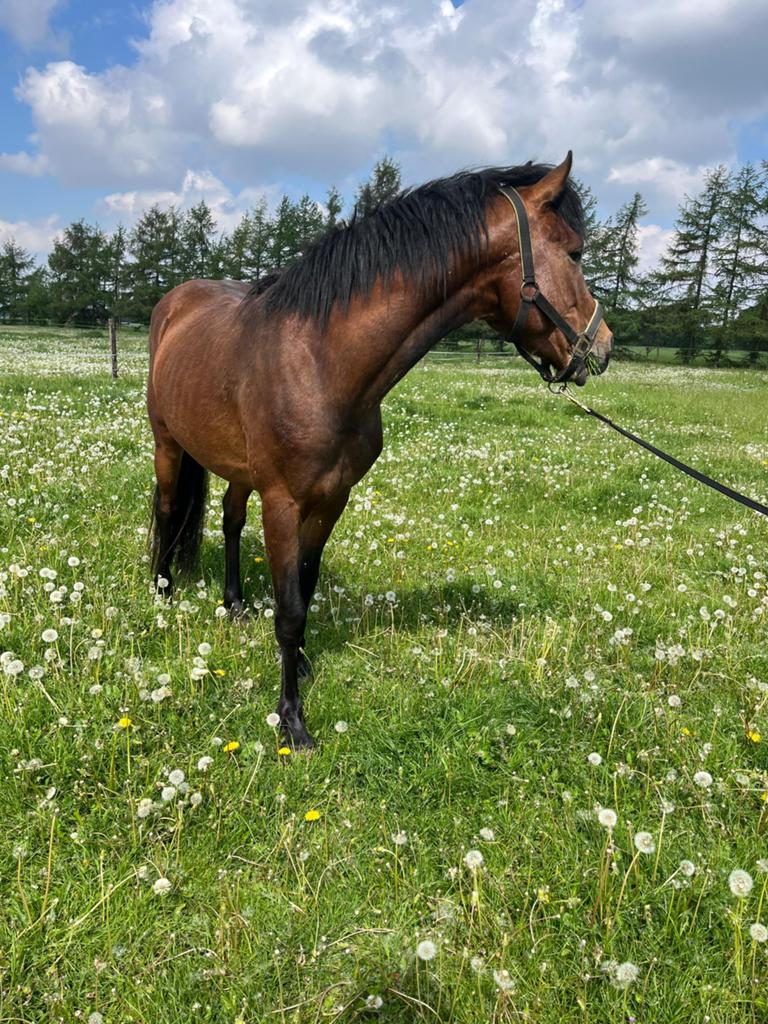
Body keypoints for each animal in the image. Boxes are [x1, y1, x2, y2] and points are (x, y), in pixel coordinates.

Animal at [147, 152, 614, 749]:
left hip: (238, 467)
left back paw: (234, 605)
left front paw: (300, 666)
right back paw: (163, 595)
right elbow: (290, 609)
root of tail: (175, 301)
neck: (320, 360)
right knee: (167, 511)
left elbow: (304, 587)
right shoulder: (284, 502)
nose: (603, 347)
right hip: (168, 443)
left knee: (229, 520)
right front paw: (292, 721)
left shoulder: (333, 499)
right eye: (574, 252)